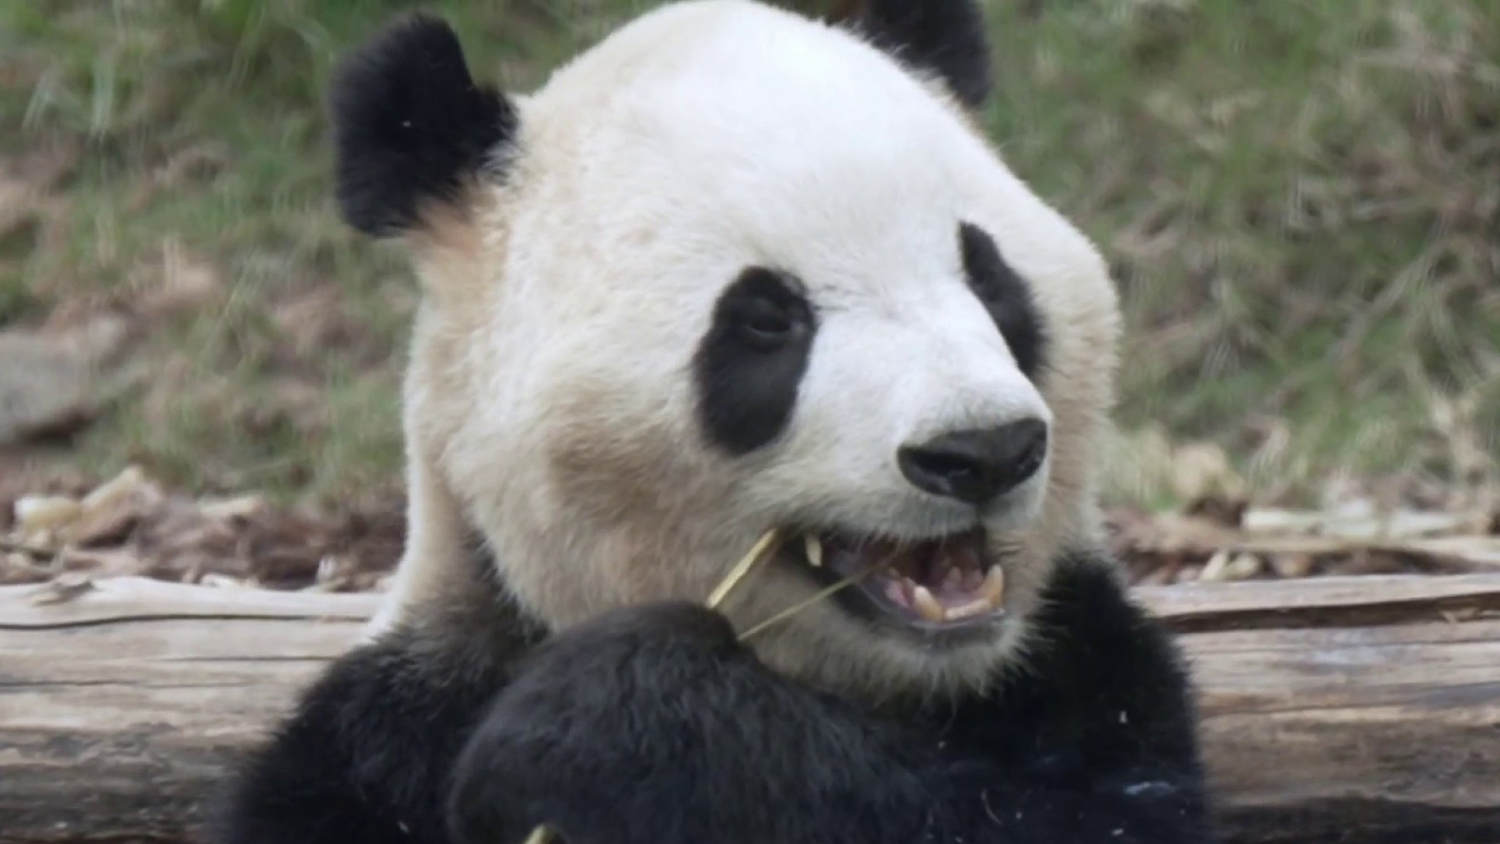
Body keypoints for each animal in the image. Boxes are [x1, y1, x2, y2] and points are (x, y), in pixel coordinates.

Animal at [219, 2, 1211, 843]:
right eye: (767, 319)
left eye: (989, 277)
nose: (983, 451)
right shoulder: (398, 717)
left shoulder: (1085, 674)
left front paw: (601, 723)